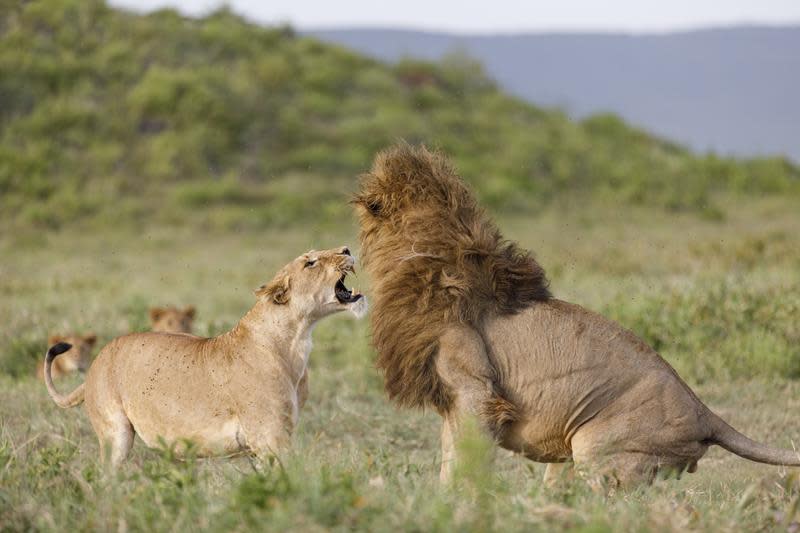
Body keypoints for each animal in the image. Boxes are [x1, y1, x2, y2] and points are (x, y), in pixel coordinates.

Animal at [43, 247, 366, 464]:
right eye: (311, 262)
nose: (347, 249)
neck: (296, 340)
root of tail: (94, 364)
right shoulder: (270, 436)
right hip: (115, 437)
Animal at [354, 144, 800, 486]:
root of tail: (706, 413)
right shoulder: (453, 402)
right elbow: (450, 458)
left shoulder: (475, 392)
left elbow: (464, 466)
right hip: (570, 456)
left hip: (600, 450)